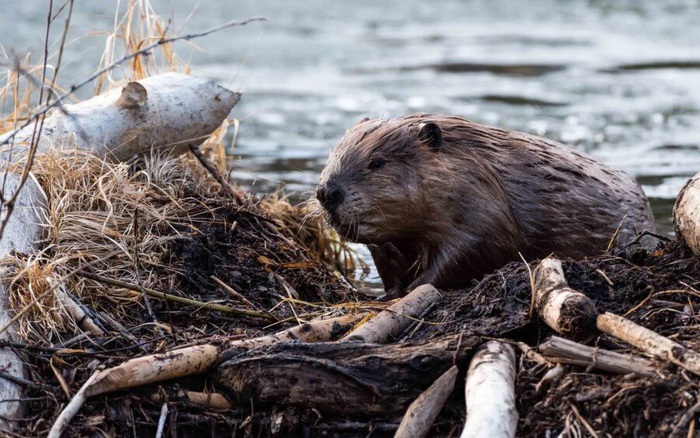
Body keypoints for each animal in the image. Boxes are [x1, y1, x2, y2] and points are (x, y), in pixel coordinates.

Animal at [318, 114, 656, 298]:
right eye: (333, 154)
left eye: (377, 162)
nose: (326, 192)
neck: (478, 167)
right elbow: (389, 264)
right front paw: (387, 294)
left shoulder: (483, 213)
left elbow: (466, 254)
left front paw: (414, 288)